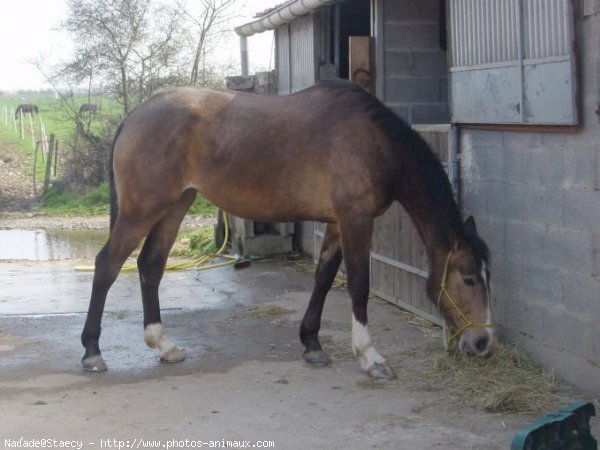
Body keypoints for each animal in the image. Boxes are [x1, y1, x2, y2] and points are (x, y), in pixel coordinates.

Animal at [82, 80, 494, 376]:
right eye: (469, 279)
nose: (483, 343)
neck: (373, 139)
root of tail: (135, 115)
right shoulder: (356, 219)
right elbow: (359, 285)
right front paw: (370, 356)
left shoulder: (336, 223)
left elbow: (324, 278)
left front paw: (312, 344)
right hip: (142, 209)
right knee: (107, 265)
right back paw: (92, 352)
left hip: (175, 204)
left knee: (150, 265)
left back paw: (164, 346)